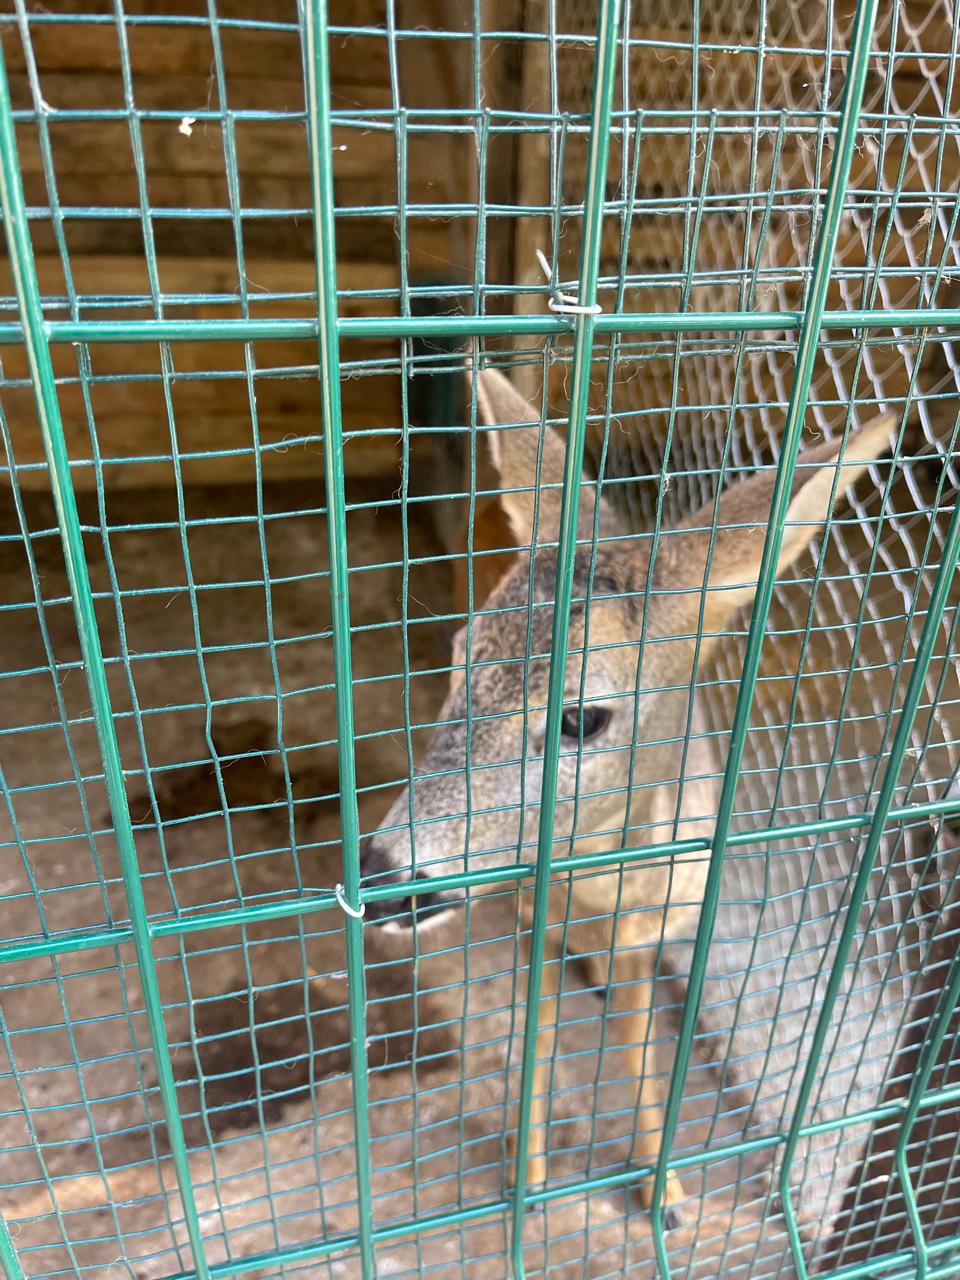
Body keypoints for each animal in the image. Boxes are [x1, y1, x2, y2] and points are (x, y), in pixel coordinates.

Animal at [358, 368, 896, 1218]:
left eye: (583, 716)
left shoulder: (655, 935)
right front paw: (528, 1179)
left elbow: (644, 1050)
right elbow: (539, 1035)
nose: (382, 873)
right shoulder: (531, 918)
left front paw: (664, 1187)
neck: (596, 894)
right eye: (458, 656)